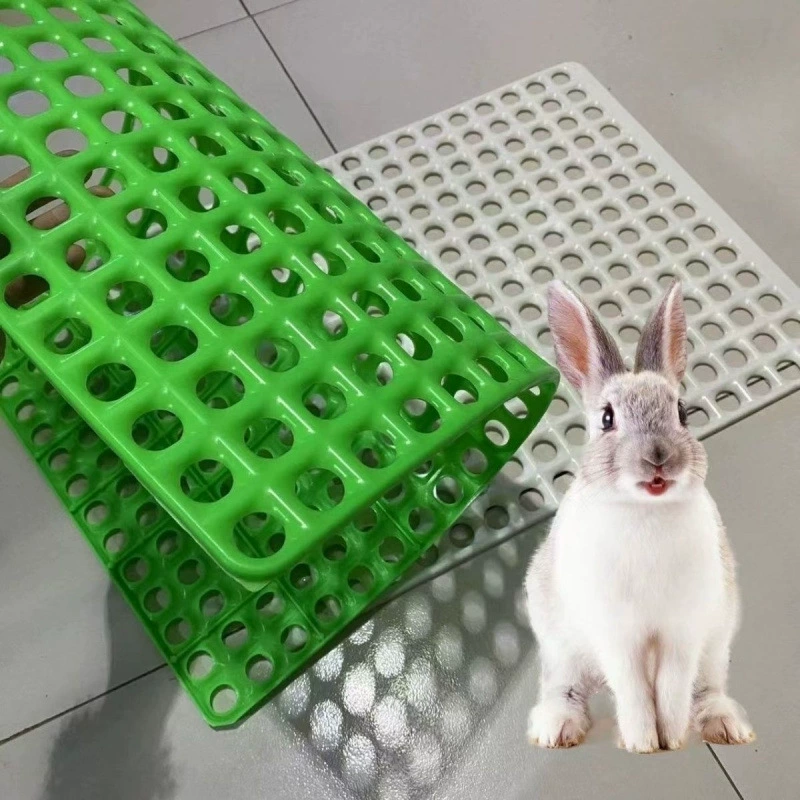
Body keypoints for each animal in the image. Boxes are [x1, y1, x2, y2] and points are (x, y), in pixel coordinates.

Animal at [525, 279, 755, 753]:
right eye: (607, 418)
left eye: (682, 412)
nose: (658, 458)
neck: (646, 511)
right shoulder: (617, 634)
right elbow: (633, 687)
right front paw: (642, 743)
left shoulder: (682, 631)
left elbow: (670, 688)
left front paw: (672, 739)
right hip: (561, 648)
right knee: (564, 688)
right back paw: (555, 730)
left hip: (715, 646)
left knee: (705, 689)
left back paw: (726, 727)